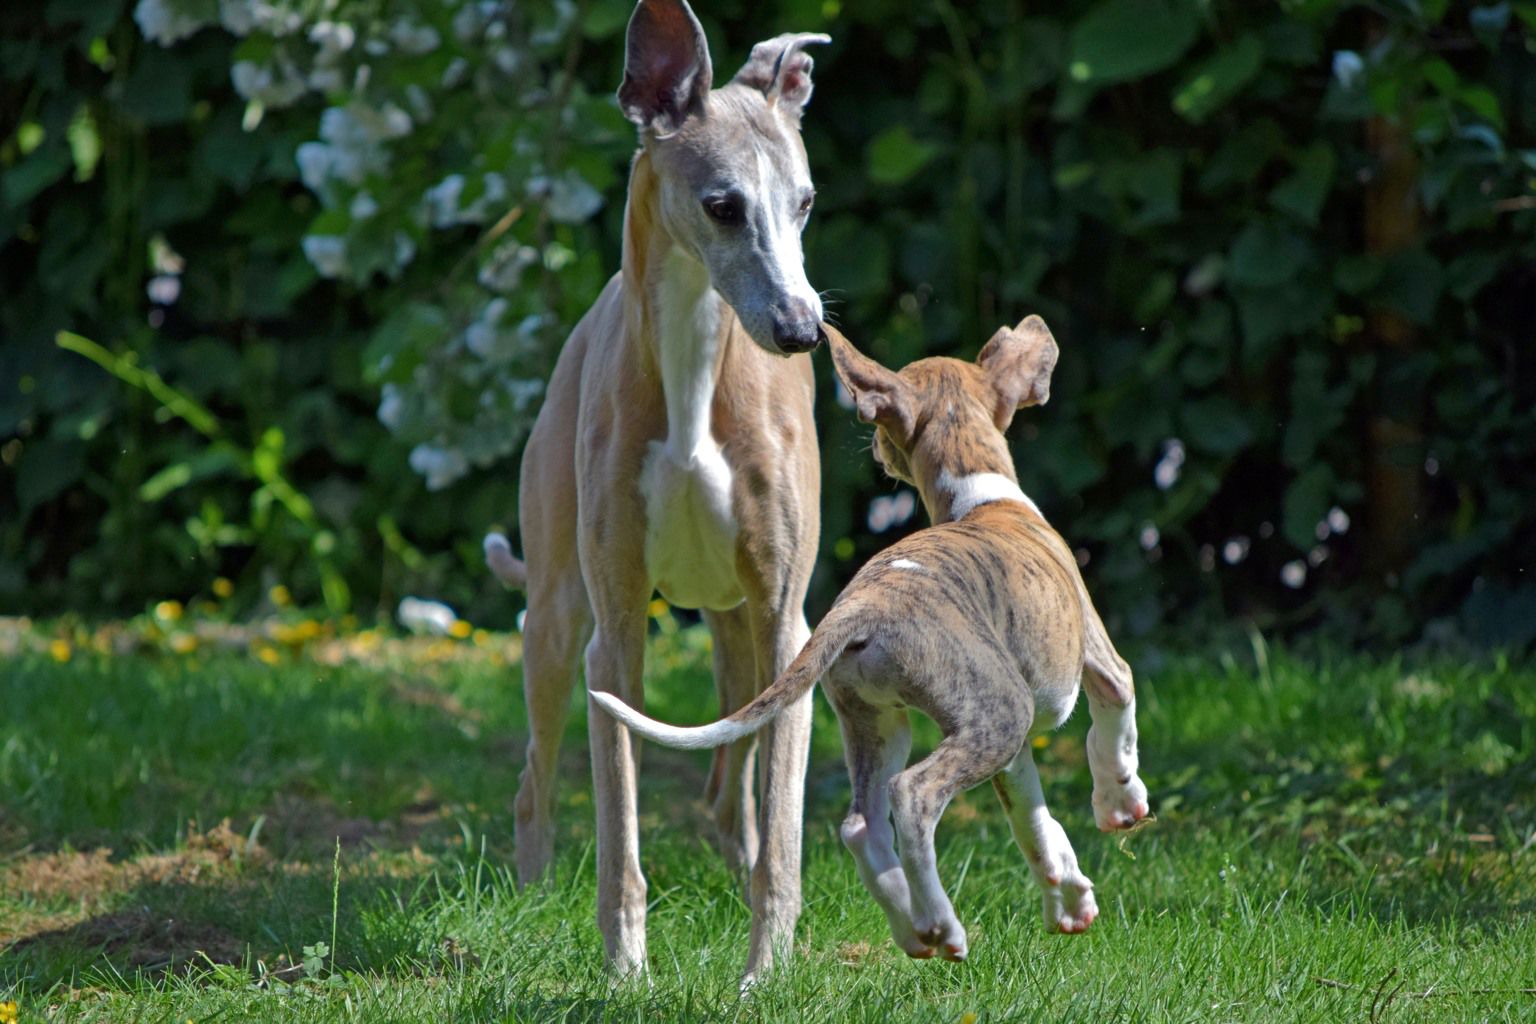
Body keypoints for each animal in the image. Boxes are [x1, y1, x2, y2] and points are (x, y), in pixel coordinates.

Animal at [488, 0, 829, 982]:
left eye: (804, 203)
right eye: (722, 205)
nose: (803, 331)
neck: (697, 358)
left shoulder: (789, 624)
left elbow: (781, 833)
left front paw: (765, 972)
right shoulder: (616, 638)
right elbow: (620, 835)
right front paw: (626, 969)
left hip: (741, 628)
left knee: (730, 792)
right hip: (556, 616)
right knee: (533, 782)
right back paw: (531, 896)